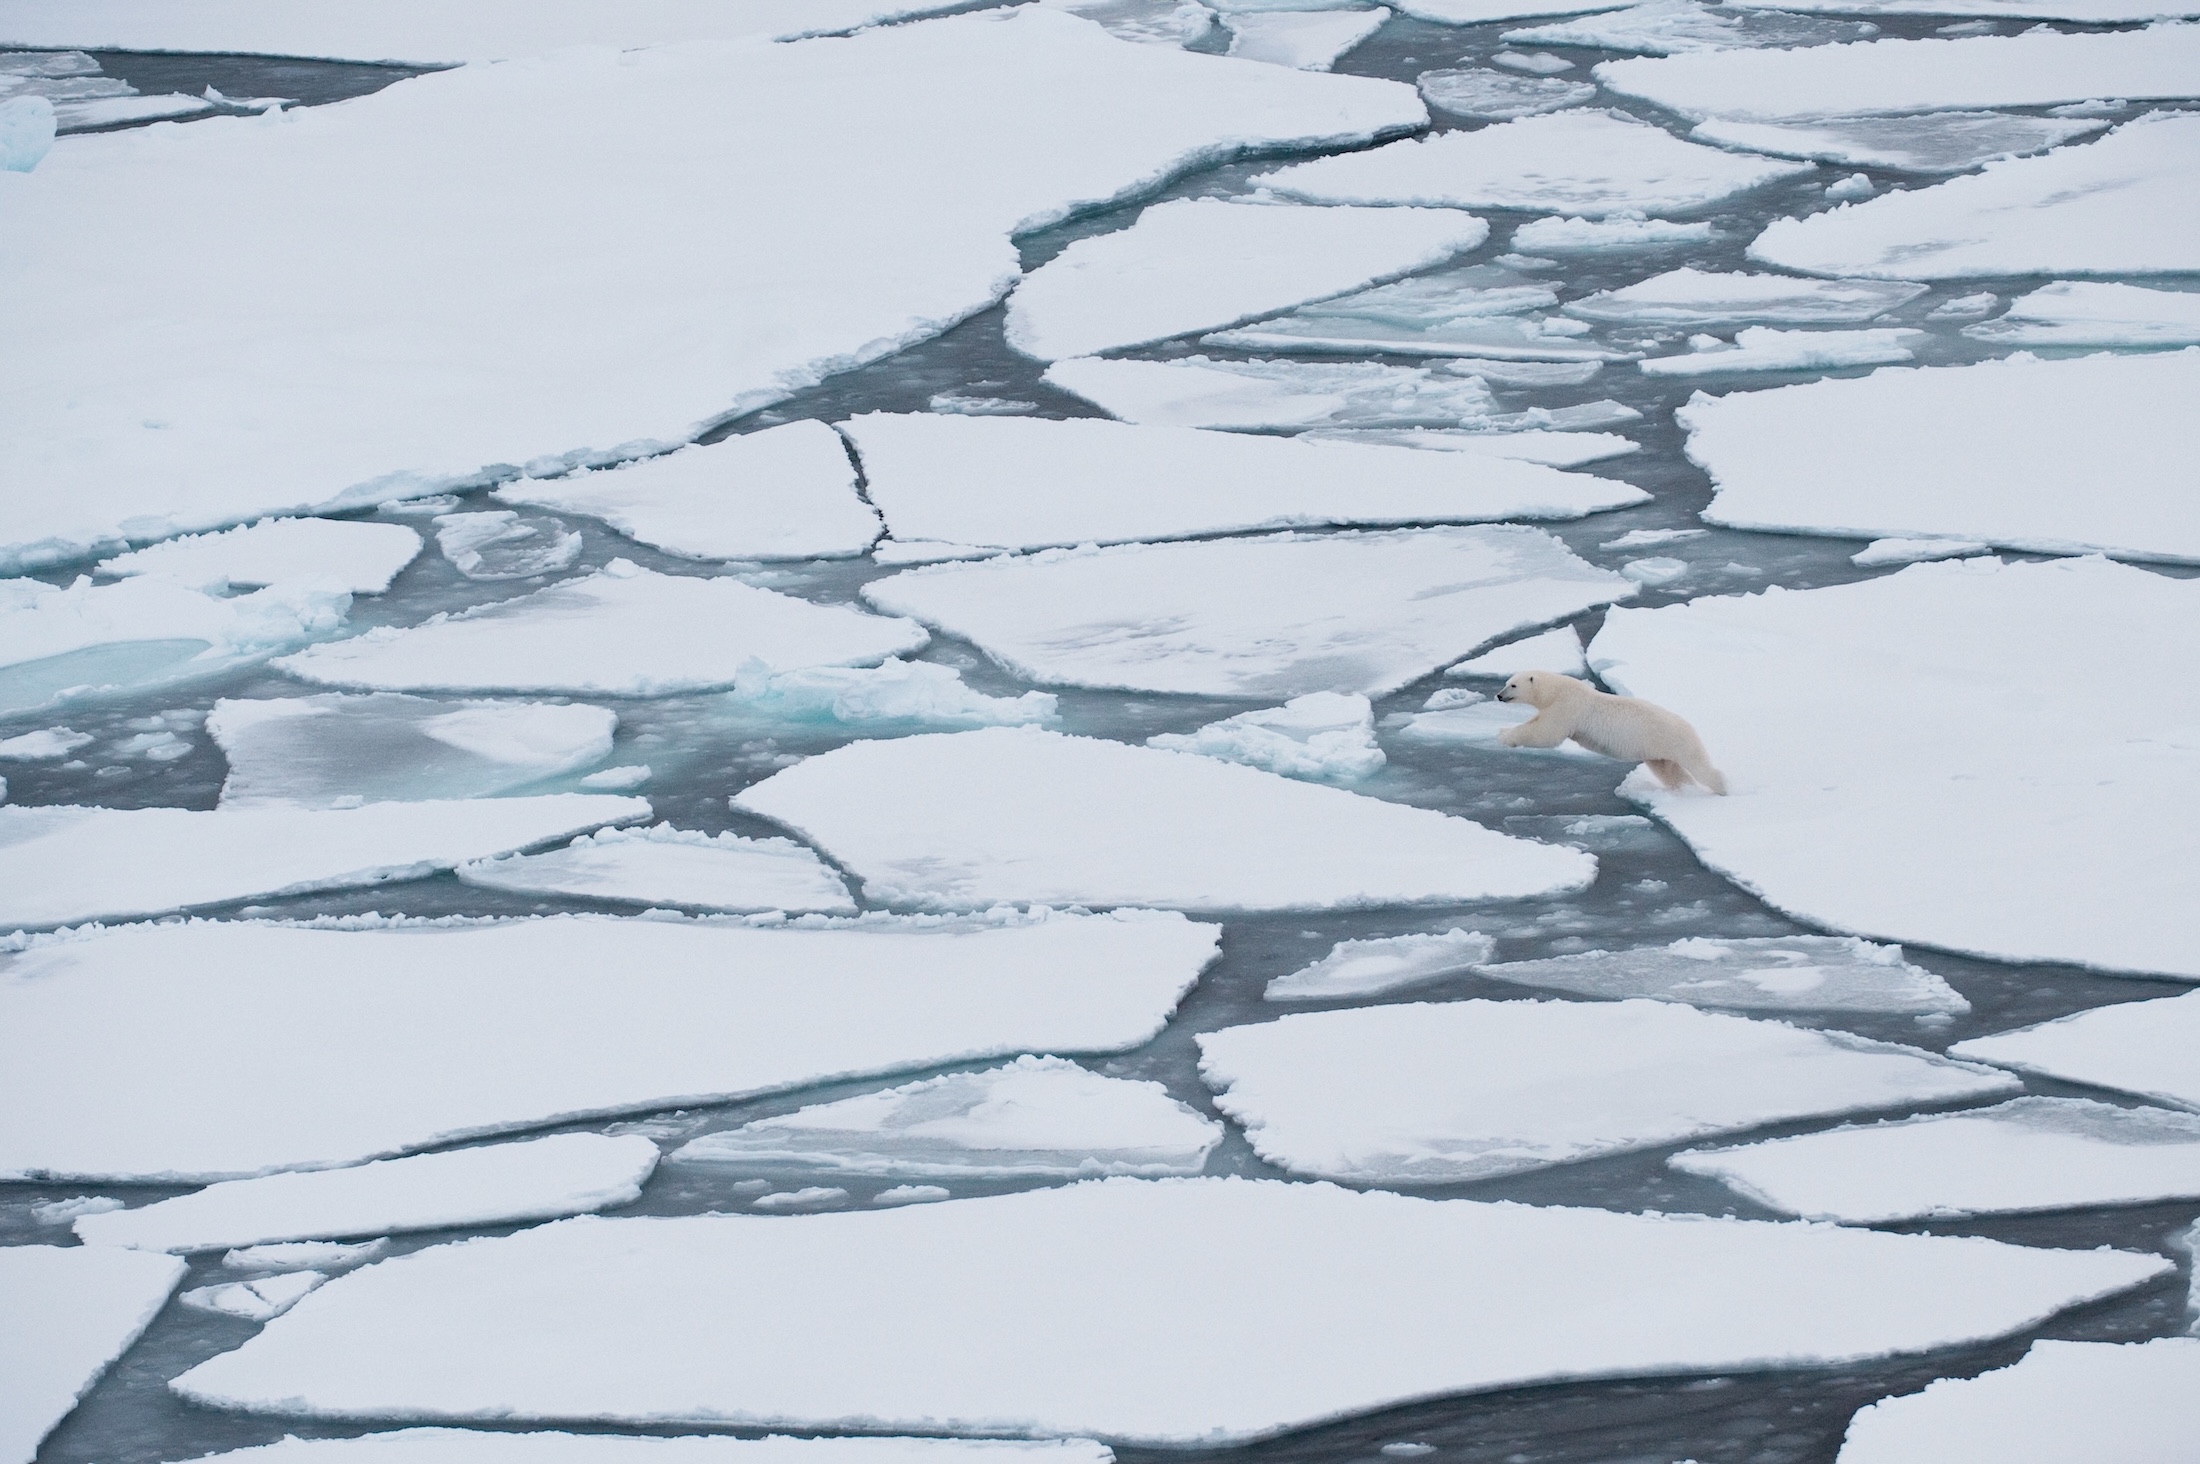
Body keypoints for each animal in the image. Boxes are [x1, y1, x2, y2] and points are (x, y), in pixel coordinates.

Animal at [1495, 669, 1727, 795]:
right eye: (1506, 682)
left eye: (1513, 685)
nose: (1499, 695)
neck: (1556, 690)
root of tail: (1688, 726)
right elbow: (1538, 722)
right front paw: (1503, 730)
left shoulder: (1568, 707)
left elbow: (1546, 733)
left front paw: (1504, 737)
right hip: (1657, 749)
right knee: (1668, 770)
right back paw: (1684, 789)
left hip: (1675, 740)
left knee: (1698, 765)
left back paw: (1722, 787)